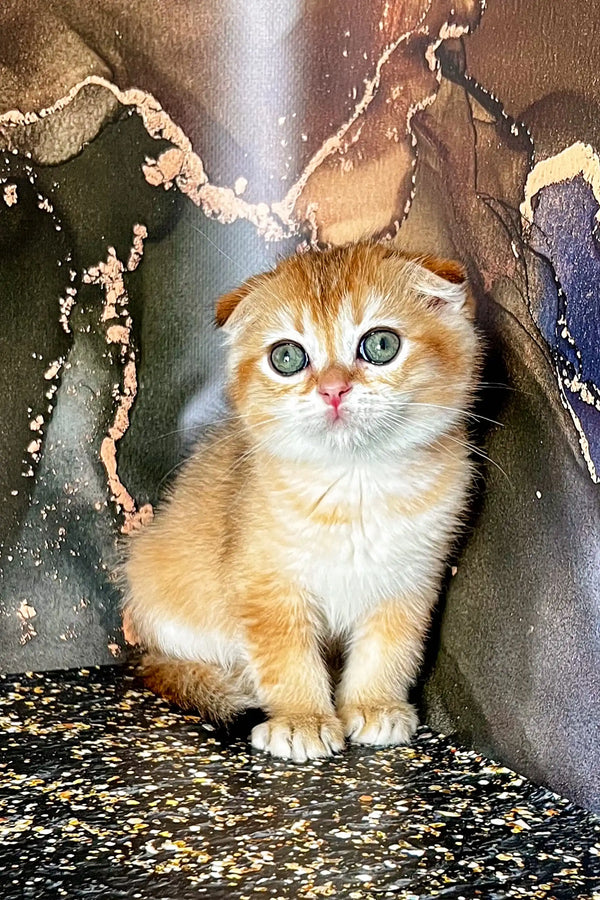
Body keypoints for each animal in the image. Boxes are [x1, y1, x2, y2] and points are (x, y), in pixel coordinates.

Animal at [120, 239, 478, 760]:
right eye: (287, 356)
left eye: (381, 345)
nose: (333, 389)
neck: (354, 485)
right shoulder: (265, 584)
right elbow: (285, 656)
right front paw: (301, 719)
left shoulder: (409, 580)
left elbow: (389, 648)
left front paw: (373, 705)